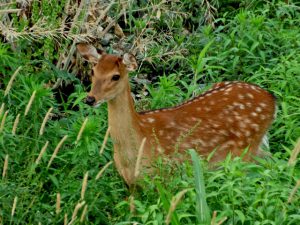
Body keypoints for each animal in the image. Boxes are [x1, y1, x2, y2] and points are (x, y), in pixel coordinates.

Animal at [76, 43, 276, 185]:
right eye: (93, 71)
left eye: (115, 76)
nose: (90, 99)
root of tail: (272, 100)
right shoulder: (131, 184)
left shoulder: (166, 176)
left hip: (244, 152)